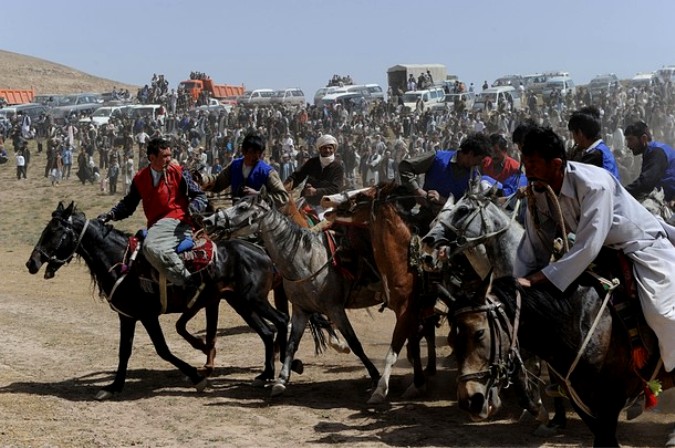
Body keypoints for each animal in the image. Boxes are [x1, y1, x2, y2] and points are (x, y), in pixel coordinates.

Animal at [25, 201, 290, 400]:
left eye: (54, 231)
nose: (31, 263)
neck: (123, 262)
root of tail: (261, 251)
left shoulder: (148, 315)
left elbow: (162, 349)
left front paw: (196, 377)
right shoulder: (127, 316)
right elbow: (124, 351)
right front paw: (114, 387)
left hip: (254, 299)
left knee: (281, 320)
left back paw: (280, 374)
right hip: (241, 302)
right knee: (267, 332)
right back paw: (266, 374)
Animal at [203, 194, 386, 400]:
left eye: (242, 207)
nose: (208, 221)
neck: (307, 259)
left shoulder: (335, 309)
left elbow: (354, 342)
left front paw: (375, 376)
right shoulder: (301, 310)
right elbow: (291, 343)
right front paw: (282, 379)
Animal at [322, 182, 448, 402]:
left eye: (361, 196)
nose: (326, 200)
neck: (407, 262)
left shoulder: (407, 312)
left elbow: (394, 350)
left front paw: (380, 390)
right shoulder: (405, 312)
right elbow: (413, 346)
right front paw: (417, 384)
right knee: (429, 330)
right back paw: (431, 369)